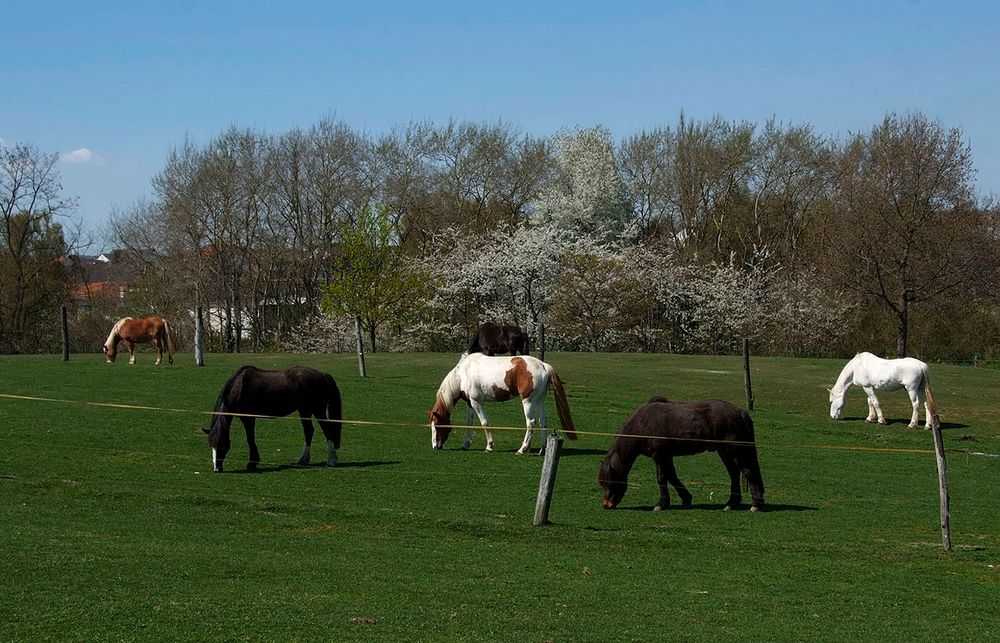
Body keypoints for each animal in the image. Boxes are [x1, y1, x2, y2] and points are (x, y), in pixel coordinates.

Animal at [203, 368, 344, 472]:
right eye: (211, 446)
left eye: (222, 446)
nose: (216, 469)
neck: (239, 386)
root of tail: (322, 375)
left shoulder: (248, 418)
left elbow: (250, 438)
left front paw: (252, 463)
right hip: (304, 410)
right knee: (309, 431)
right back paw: (302, 460)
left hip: (317, 410)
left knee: (327, 430)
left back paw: (331, 461)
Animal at [426, 354, 576, 456]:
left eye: (438, 427)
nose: (435, 446)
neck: (463, 374)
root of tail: (543, 365)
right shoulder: (470, 403)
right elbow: (470, 423)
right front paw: (466, 444)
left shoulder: (477, 402)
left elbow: (485, 423)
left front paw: (489, 446)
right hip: (539, 400)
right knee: (542, 421)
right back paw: (542, 449)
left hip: (528, 402)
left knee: (531, 422)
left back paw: (522, 449)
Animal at [600, 394, 764, 510]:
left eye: (610, 482)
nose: (606, 505)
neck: (643, 424)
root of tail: (739, 412)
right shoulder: (666, 456)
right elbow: (672, 476)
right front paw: (686, 499)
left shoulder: (659, 455)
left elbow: (662, 478)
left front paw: (661, 504)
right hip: (724, 451)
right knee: (734, 474)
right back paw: (731, 503)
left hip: (735, 451)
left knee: (747, 471)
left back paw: (755, 504)